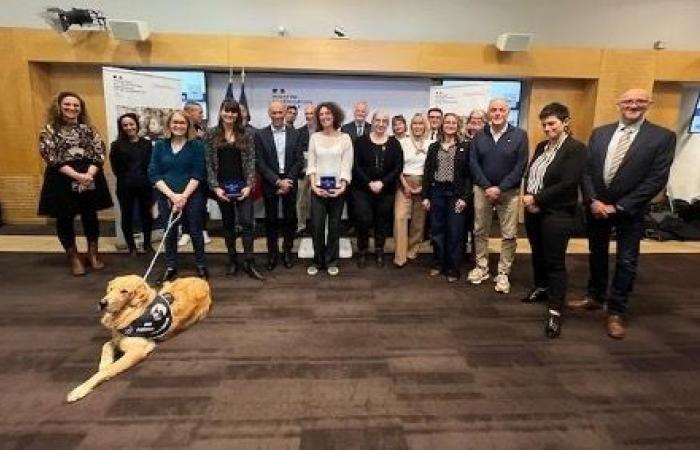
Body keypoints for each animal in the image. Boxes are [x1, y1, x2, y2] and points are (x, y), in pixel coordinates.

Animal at [67, 276, 212, 402]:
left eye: (124, 291)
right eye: (110, 289)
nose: (102, 303)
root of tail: (202, 280)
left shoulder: (136, 351)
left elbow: (106, 370)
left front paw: (79, 390)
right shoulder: (117, 339)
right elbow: (105, 346)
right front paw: (104, 364)